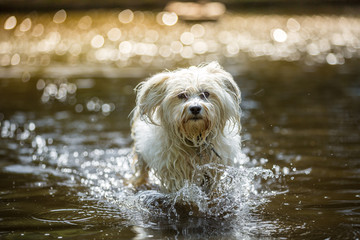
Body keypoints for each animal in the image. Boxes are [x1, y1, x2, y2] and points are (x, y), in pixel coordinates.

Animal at [130, 62, 242, 193]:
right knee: (142, 171)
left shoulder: (214, 169)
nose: (195, 108)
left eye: (206, 94)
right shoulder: (175, 173)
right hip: (140, 155)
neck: (195, 138)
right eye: (182, 95)